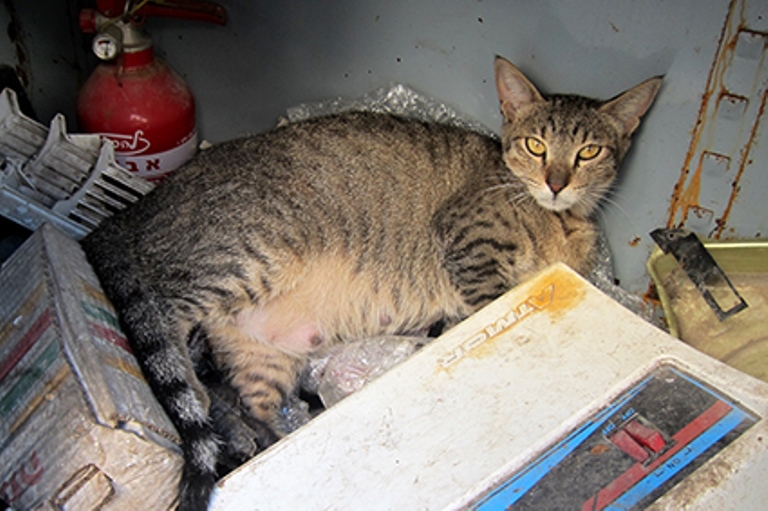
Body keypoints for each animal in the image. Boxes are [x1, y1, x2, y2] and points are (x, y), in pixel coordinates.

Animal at [82, 58, 660, 510]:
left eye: (590, 152)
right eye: (536, 145)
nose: (556, 183)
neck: (559, 220)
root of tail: (133, 209)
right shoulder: (469, 244)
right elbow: (492, 300)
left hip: (261, 354)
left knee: (251, 404)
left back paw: (266, 436)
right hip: (240, 261)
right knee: (164, 326)